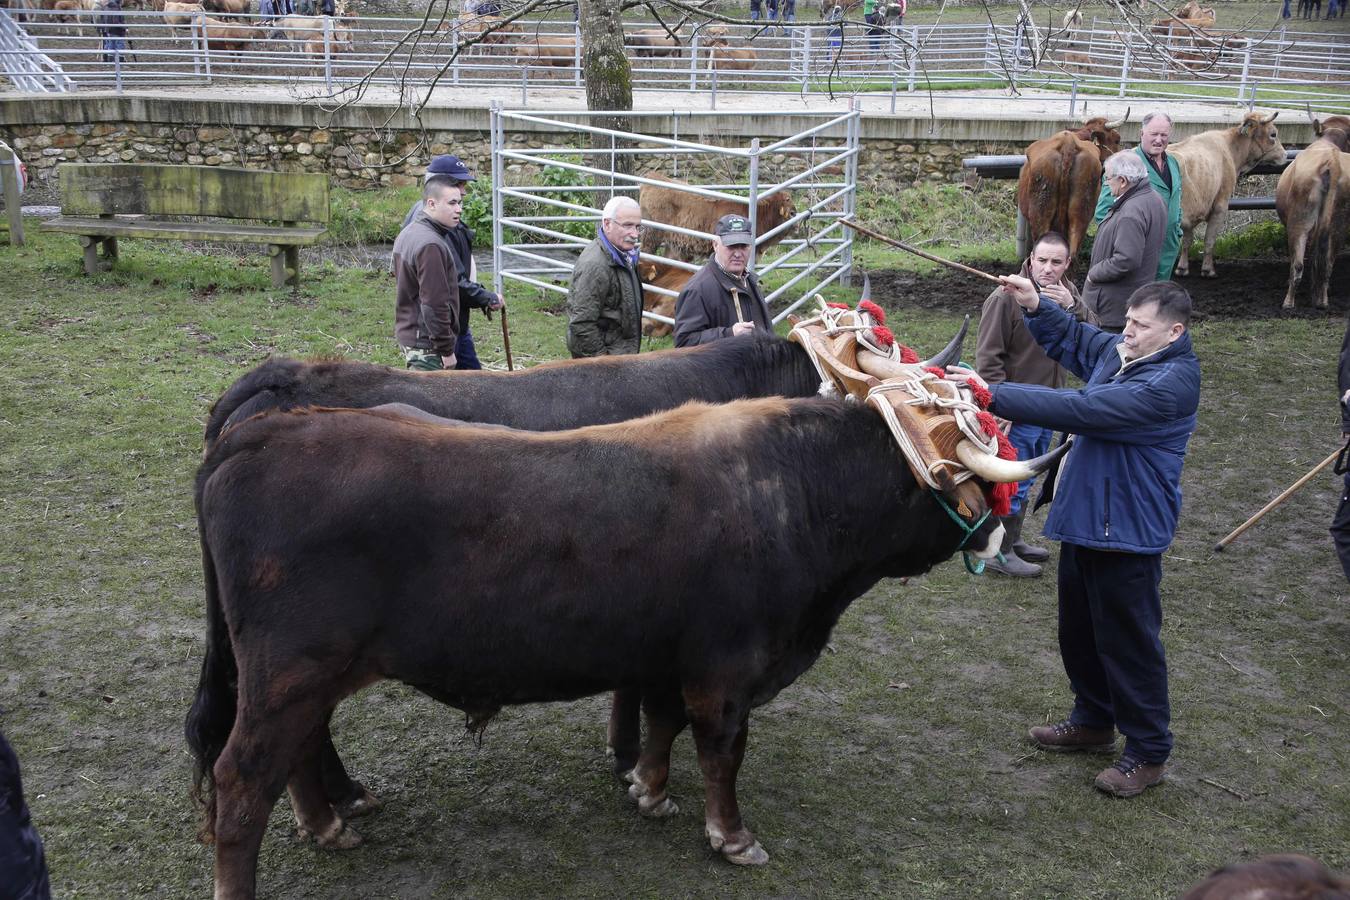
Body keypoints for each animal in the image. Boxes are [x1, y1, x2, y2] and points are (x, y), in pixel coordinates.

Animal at [1166, 114, 1279, 279]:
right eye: (1273, 134)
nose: (1284, 154)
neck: (1229, 148)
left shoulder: (1190, 214)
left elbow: (1186, 241)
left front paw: (1182, 268)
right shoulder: (1220, 206)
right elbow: (1209, 240)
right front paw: (1208, 269)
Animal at [1274, 113, 1350, 310]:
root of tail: (1333, 162)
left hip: (1299, 222)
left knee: (1298, 264)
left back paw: (1288, 302)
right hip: (1338, 226)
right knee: (1328, 263)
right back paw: (1322, 301)